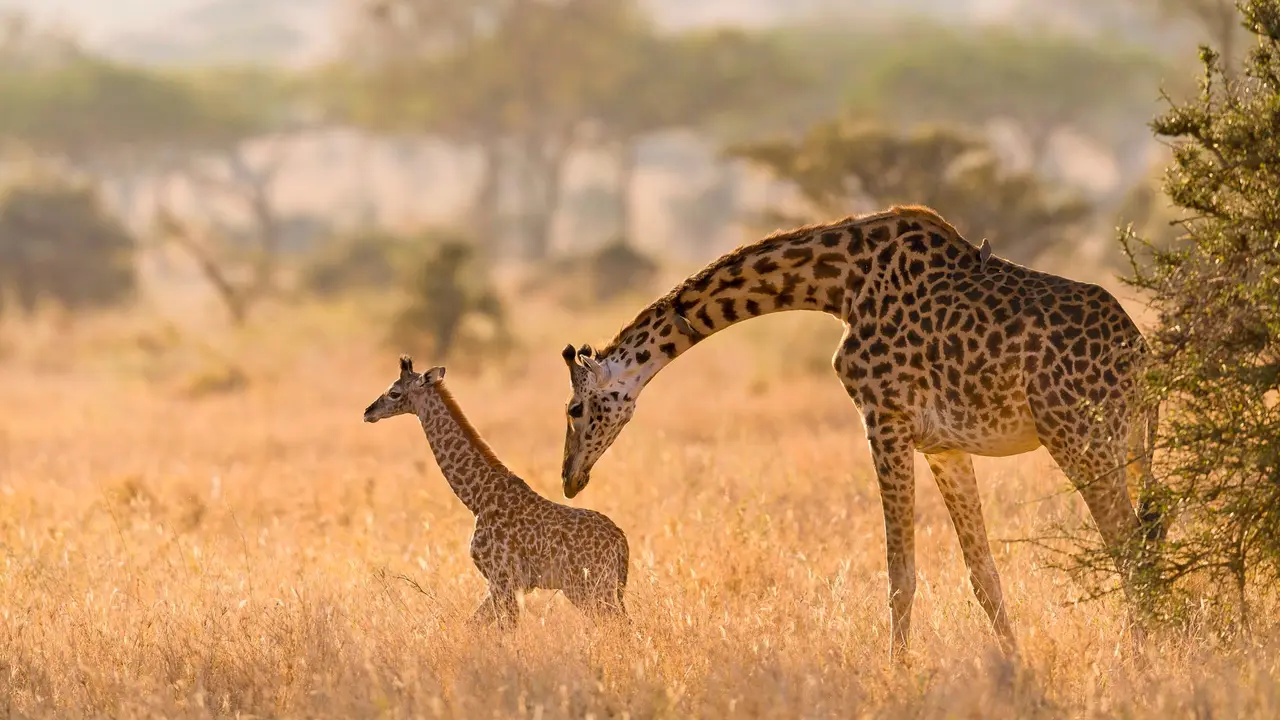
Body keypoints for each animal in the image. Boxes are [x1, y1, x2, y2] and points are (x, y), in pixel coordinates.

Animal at [364, 356, 630, 626]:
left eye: (394, 393)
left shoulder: (505, 578)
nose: (368, 412)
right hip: (595, 587)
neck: (478, 498)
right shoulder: (504, 584)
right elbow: (473, 625)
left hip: (590, 586)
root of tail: (621, 542)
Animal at [558, 205, 1165, 661]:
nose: (569, 477)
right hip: (1128, 445)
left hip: (1080, 438)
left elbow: (900, 573)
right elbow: (983, 574)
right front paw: (1015, 668)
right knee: (1145, 539)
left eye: (574, 408)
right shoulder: (943, 444)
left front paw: (898, 673)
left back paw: (1139, 657)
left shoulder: (883, 419)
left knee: (1131, 547)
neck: (837, 285)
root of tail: (1141, 355)